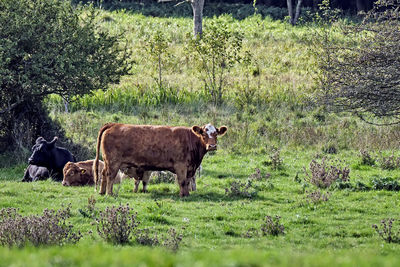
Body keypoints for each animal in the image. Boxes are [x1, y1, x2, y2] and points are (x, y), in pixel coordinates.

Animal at [92, 123, 227, 197]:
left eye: (216, 134)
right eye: (204, 134)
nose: (212, 146)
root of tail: (114, 124)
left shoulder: (190, 168)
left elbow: (188, 181)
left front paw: (187, 194)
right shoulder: (181, 166)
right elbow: (182, 181)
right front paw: (182, 195)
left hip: (108, 162)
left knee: (103, 174)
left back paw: (102, 192)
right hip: (113, 162)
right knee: (110, 176)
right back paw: (109, 193)